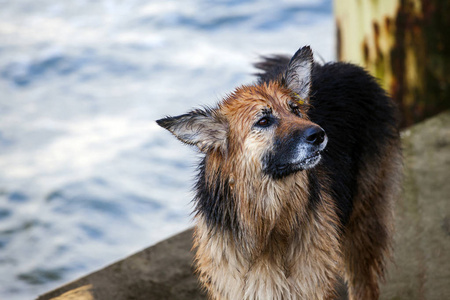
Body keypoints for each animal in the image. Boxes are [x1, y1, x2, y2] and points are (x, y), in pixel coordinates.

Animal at [157, 45, 400, 298]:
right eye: (263, 121)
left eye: (295, 109)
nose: (319, 135)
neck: (267, 225)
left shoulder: (310, 284)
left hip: (364, 225)